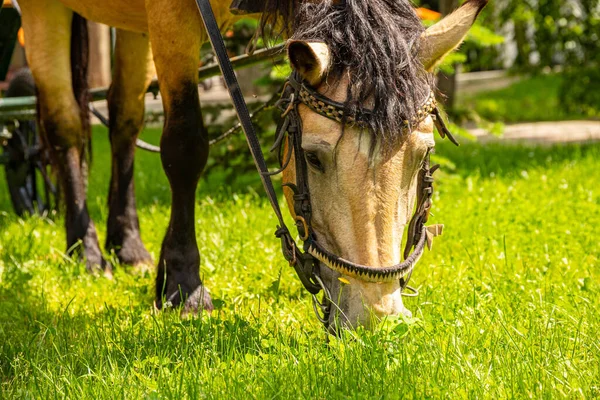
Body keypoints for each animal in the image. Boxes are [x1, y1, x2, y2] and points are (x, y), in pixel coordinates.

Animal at [18, 0, 488, 328]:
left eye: (422, 154)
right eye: (313, 157)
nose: (376, 314)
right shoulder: (170, 15)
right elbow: (184, 147)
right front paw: (183, 284)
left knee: (123, 121)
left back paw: (127, 244)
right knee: (64, 124)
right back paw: (85, 249)